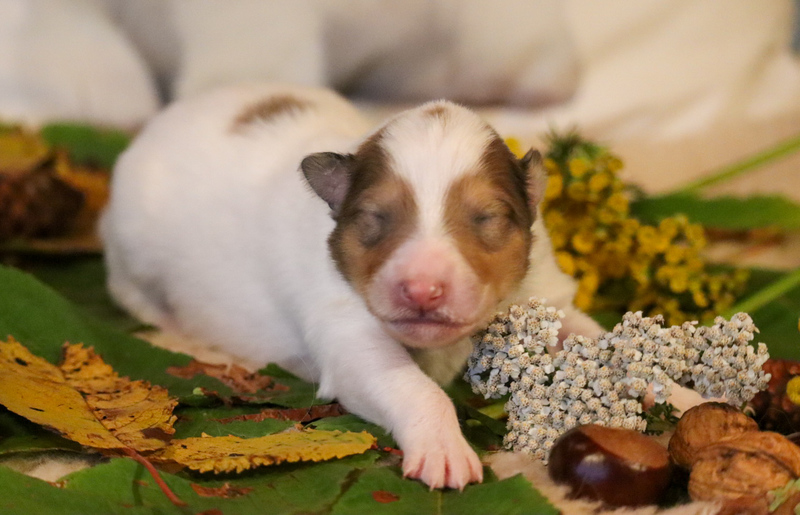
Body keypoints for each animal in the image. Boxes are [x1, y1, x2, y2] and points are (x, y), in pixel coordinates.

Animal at [101, 83, 602, 489]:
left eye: (488, 218)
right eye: (374, 218)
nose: (422, 290)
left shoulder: (541, 285)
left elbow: (579, 331)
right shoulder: (346, 329)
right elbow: (410, 385)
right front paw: (445, 450)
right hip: (132, 244)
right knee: (128, 288)